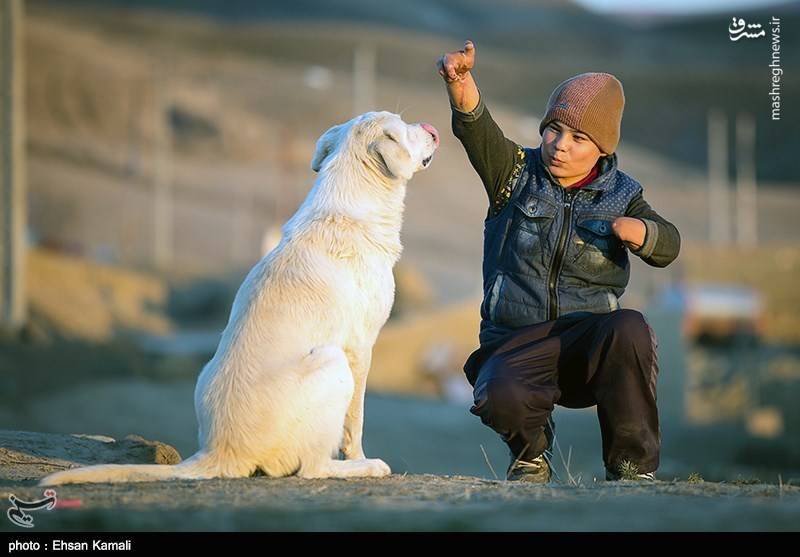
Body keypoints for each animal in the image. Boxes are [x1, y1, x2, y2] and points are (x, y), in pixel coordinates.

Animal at [40, 112, 440, 482]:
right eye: (404, 128)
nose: (434, 129)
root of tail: (220, 452)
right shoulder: (360, 347)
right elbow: (354, 421)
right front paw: (358, 456)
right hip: (333, 362)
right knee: (311, 469)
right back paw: (364, 467)